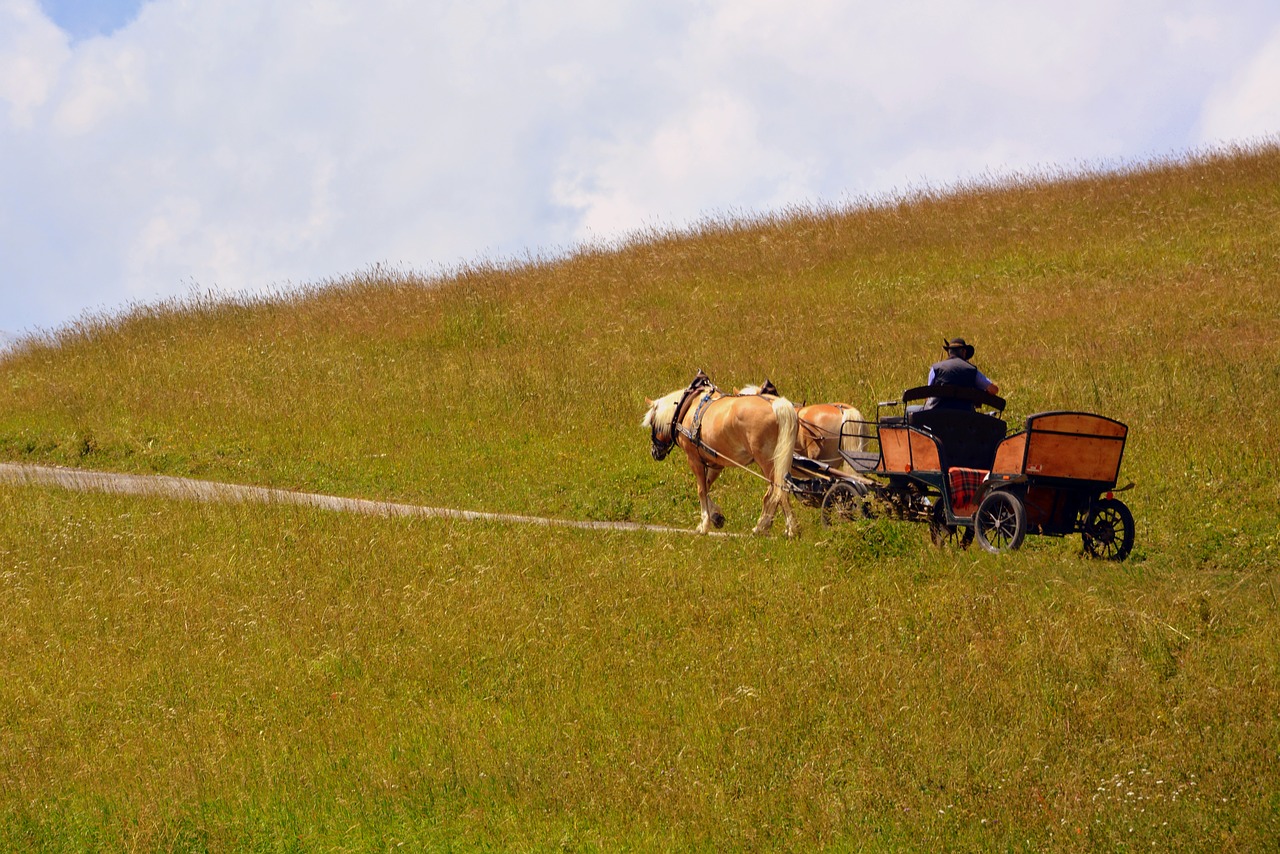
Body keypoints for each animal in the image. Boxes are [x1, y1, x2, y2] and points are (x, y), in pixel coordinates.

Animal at [640, 378, 798, 537]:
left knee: (779, 490)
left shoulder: (694, 460)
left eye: (652, 422)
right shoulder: (716, 464)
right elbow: (706, 487)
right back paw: (765, 526)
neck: (688, 408)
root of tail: (775, 404)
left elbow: (701, 490)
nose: (655, 452)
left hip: (769, 462)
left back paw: (788, 529)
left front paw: (704, 524)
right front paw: (716, 516)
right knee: (774, 493)